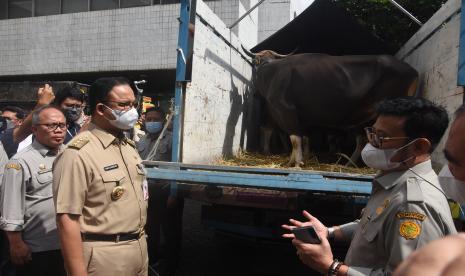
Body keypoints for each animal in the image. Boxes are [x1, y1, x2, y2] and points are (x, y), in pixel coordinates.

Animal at [243, 47, 416, 168]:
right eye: (257, 61)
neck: (272, 73)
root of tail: (412, 70)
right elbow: (298, 138)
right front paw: (292, 161)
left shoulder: (286, 110)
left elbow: (295, 138)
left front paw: (298, 162)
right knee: (363, 140)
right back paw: (350, 164)